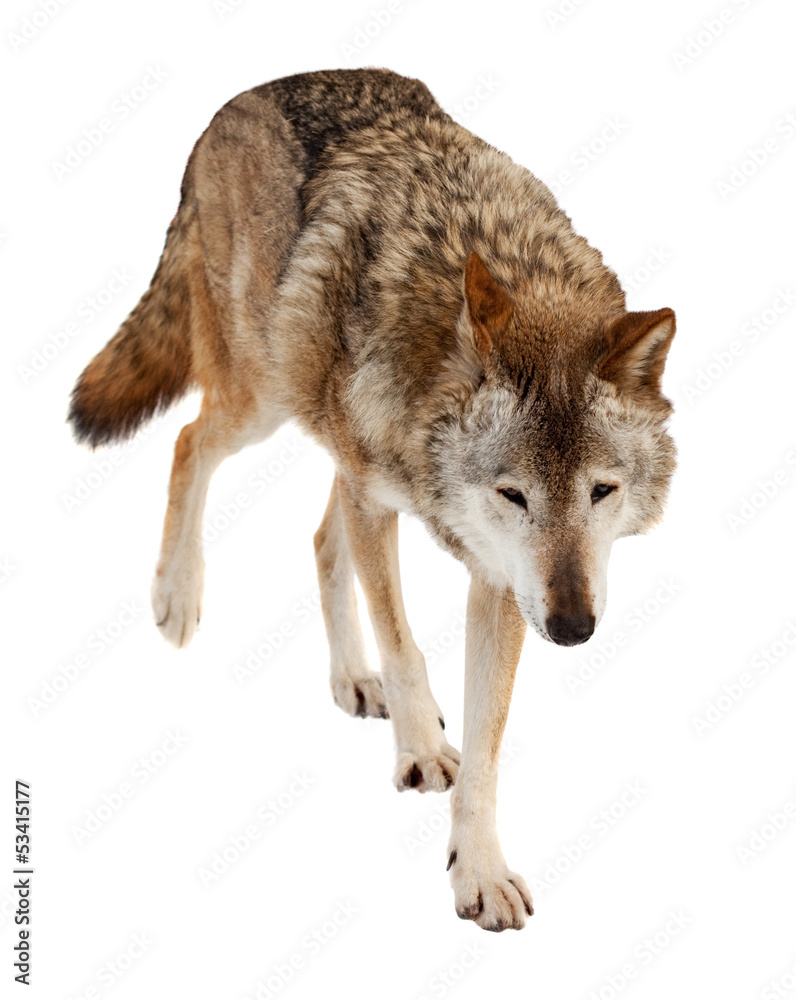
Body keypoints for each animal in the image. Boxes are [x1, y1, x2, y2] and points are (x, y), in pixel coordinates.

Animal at [69, 68, 676, 931]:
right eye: (513, 494)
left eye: (601, 491)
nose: (572, 628)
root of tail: (236, 102)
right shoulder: (392, 504)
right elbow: (406, 645)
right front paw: (420, 750)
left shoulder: (499, 579)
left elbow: (488, 747)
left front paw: (478, 870)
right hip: (261, 400)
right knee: (189, 443)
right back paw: (177, 597)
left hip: (319, 435)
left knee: (320, 540)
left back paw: (352, 680)